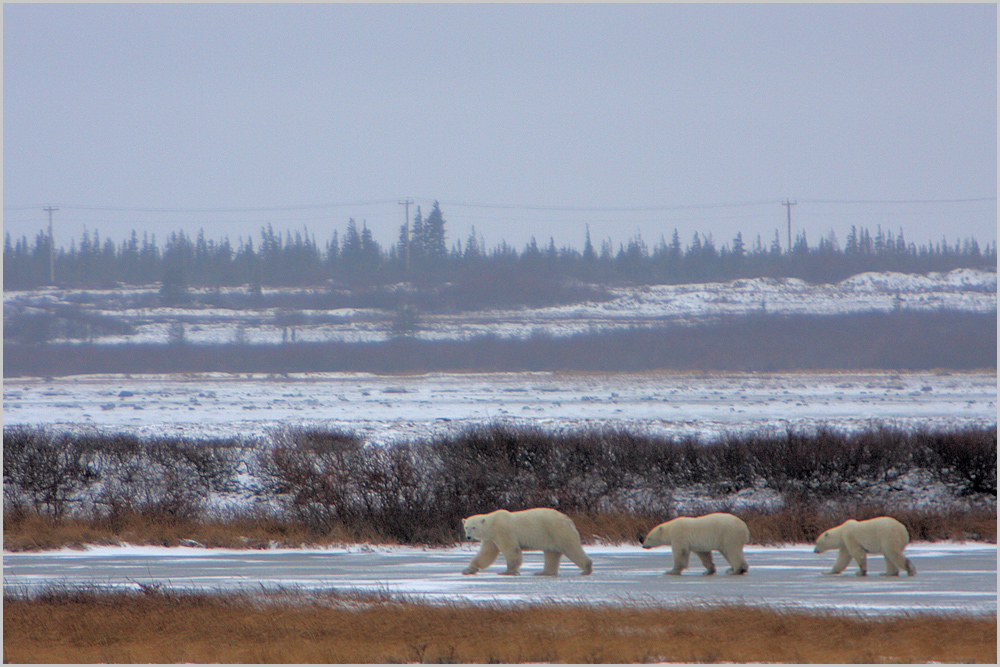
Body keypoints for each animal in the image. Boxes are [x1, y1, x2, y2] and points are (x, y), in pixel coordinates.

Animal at [462, 508, 592, 576]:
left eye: (473, 527)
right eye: (466, 527)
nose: (468, 537)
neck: (492, 524)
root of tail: (568, 519)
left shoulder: (504, 530)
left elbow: (511, 549)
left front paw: (508, 571)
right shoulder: (491, 538)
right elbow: (486, 554)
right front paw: (468, 569)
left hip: (558, 530)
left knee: (571, 548)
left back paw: (587, 568)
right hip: (551, 536)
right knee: (551, 553)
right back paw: (543, 572)